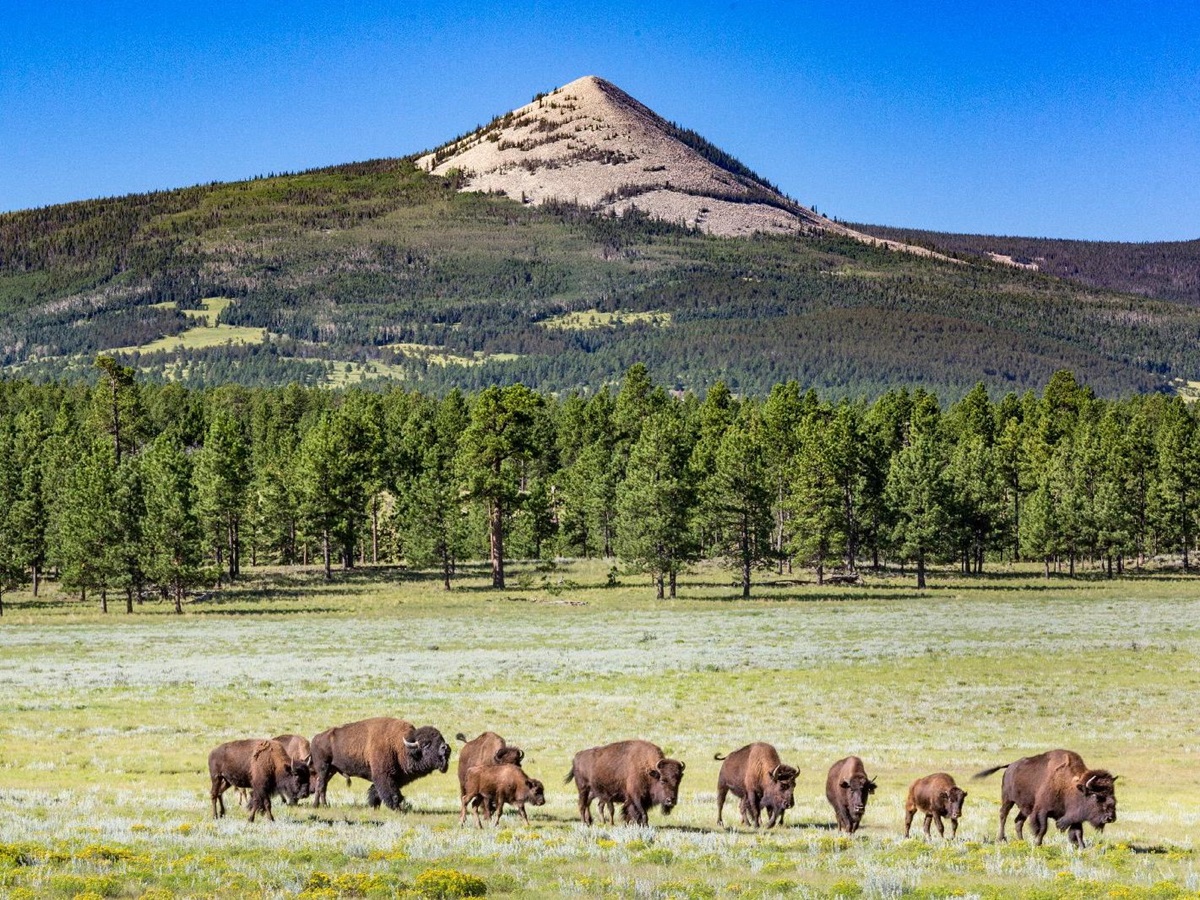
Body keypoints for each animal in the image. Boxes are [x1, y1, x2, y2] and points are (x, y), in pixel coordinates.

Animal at [310, 717, 450, 810]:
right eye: (426, 744)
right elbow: (390, 792)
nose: (445, 748)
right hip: (323, 768)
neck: (400, 747)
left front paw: (374, 805)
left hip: (331, 770)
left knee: (323, 786)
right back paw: (318, 805)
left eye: (441, 739)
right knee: (320, 785)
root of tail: (316, 738)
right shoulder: (383, 775)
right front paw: (396, 808)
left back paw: (323, 805)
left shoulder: (397, 777)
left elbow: (377, 790)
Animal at [974, 748, 1117, 848]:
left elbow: (1078, 832)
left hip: (1025, 807)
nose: (1110, 818)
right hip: (1008, 799)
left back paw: (1021, 841)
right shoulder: (1042, 811)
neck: (1071, 786)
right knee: (1003, 815)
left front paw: (1082, 847)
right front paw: (1038, 844)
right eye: (1096, 796)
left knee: (1018, 821)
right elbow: (1042, 829)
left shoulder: (1074, 816)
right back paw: (1001, 839)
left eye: (1112, 794)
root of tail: (1009, 766)